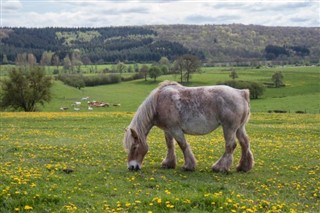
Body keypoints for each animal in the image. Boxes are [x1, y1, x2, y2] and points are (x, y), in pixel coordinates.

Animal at [124, 80, 254, 172]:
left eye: (134, 147)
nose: (132, 167)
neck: (158, 102)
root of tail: (241, 93)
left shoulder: (175, 129)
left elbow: (183, 145)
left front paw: (188, 166)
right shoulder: (168, 130)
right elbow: (170, 145)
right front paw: (168, 163)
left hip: (229, 128)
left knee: (230, 145)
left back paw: (220, 167)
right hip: (239, 128)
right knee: (244, 143)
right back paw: (243, 167)